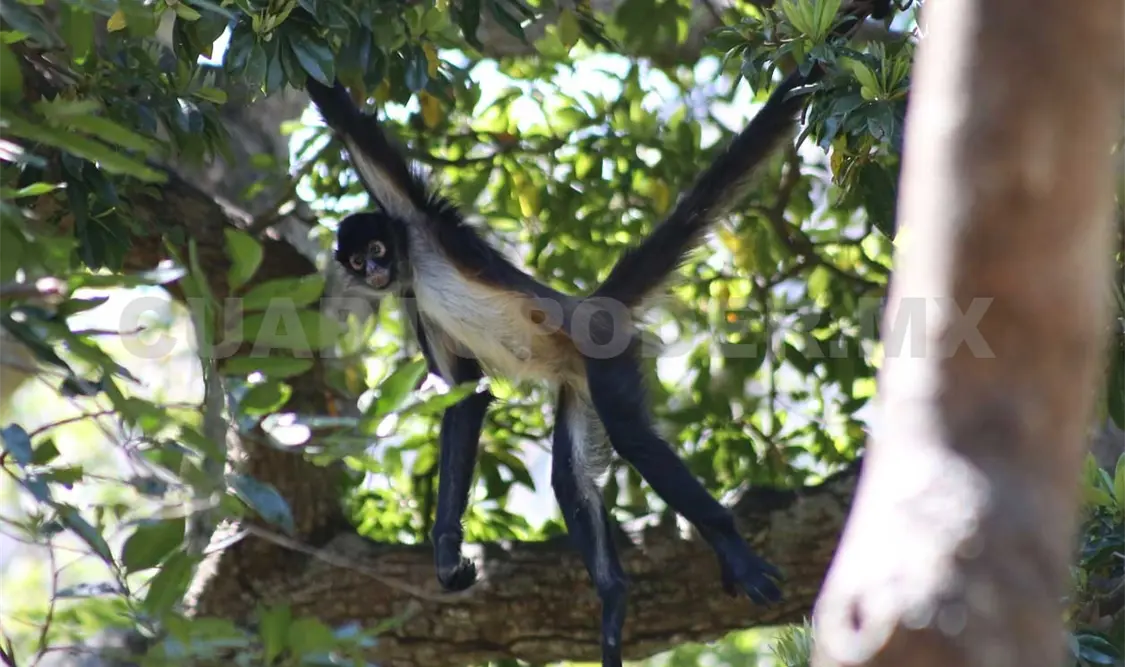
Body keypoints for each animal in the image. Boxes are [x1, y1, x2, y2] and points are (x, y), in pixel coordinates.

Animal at [306, 2, 888, 663]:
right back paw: (613, 601)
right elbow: (466, 395)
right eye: (358, 262)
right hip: (578, 379)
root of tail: (590, 306)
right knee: (568, 475)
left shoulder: (421, 219)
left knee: (633, 438)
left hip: (607, 353)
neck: (412, 266)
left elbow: (346, 119)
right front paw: (448, 553)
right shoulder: (412, 302)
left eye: (377, 249)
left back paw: (728, 545)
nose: (375, 271)